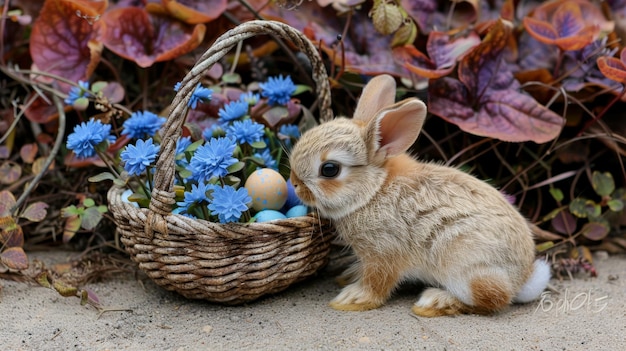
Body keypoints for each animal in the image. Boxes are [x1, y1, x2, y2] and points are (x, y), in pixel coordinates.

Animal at [290, 75, 548, 318]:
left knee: (493, 298)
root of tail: (522, 279)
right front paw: (350, 277)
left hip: (465, 265)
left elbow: (377, 282)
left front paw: (351, 299)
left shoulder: (384, 252)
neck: (373, 191)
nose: (294, 183)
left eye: (329, 169)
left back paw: (435, 302)